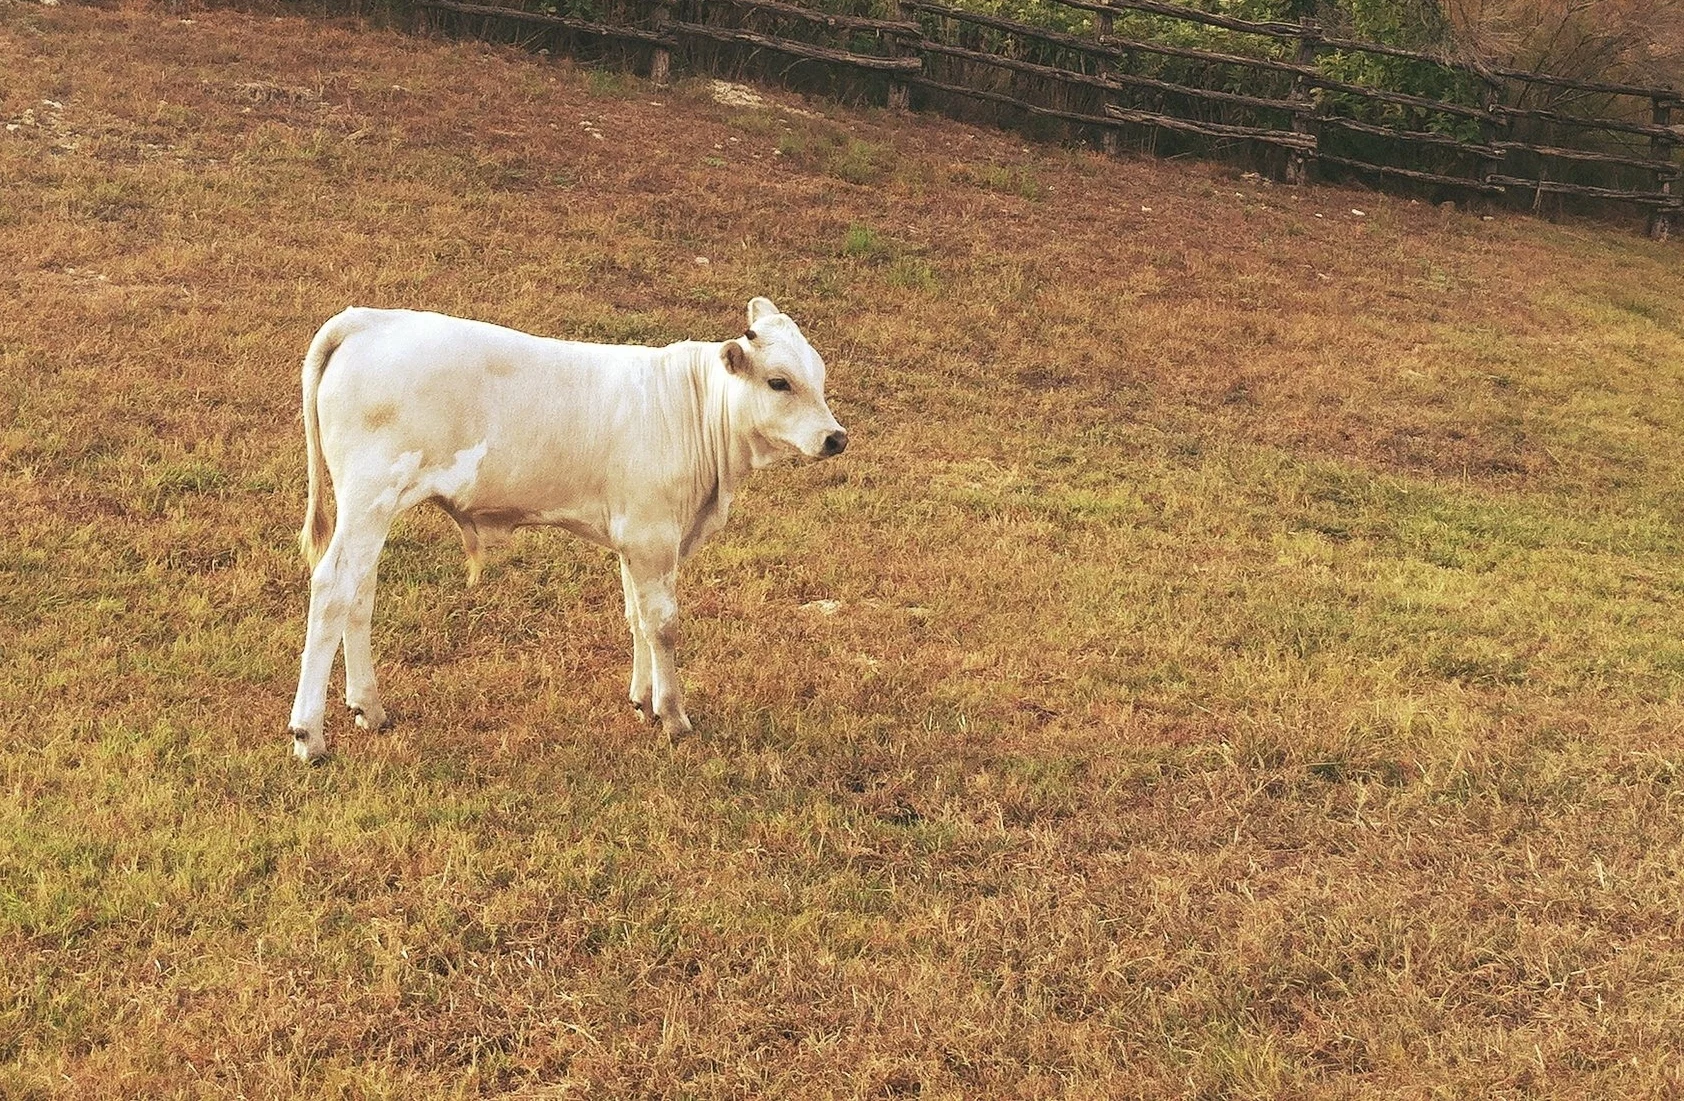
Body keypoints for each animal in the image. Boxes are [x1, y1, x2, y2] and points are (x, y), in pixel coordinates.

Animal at [286, 298, 847, 763]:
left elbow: (635, 617)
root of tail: (368, 319)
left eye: (818, 375)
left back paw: (369, 708)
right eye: (779, 382)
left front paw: (641, 700)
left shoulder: (633, 539)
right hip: (369, 498)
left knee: (359, 594)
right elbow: (662, 624)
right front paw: (673, 716)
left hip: (371, 512)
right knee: (333, 589)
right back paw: (309, 736)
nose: (836, 438)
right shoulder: (652, 536)